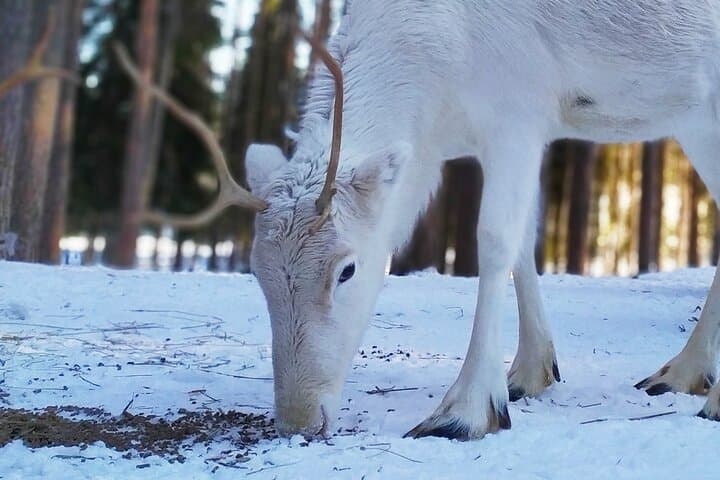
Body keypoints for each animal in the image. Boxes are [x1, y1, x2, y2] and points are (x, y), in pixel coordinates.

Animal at [113, 0, 720, 441]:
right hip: (694, 118)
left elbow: (493, 240)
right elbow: (524, 241)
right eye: (256, 273)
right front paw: (530, 372)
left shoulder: (518, 113)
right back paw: (684, 373)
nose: (299, 419)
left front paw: (467, 410)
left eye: (347, 270)